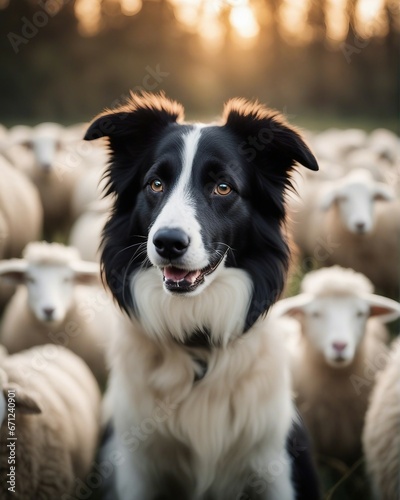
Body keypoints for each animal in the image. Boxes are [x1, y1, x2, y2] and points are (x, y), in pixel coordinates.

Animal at [84, 94, 318, 500]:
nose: (168, 242)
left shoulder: (271, 465)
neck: (197, 339)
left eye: (222, 187)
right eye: (155, 184)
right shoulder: (138, 470)